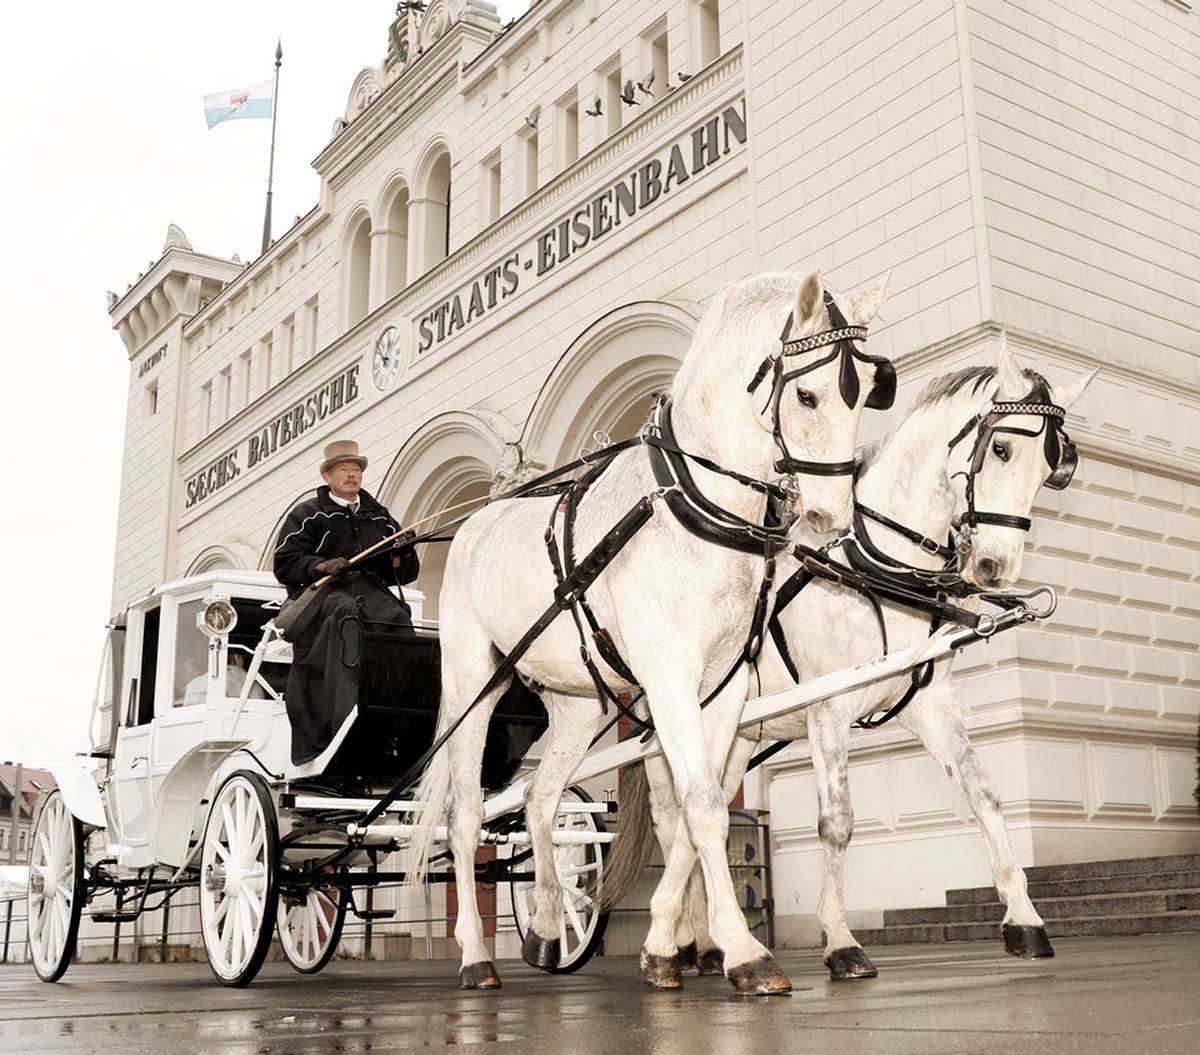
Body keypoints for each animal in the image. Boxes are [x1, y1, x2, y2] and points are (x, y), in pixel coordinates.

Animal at [403, 267, 892, 993]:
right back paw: (474, 956)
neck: (697, 507)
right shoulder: (669, 676)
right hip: (474, 684)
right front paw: (744, 952)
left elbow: (697, 807)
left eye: (865, 394)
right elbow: (703, 806)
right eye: (807, 394)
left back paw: (546, 925)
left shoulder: (723, 687)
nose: (832, 517)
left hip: (580, 703)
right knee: (466, 821)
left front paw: (677, 945)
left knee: (542, 800)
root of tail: (472, 523)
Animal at [604, 338, 1099, 984]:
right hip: (670, 715)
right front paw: (840, 941)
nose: (995, 568)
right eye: (1000, 448)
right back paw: (677, 941)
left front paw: (1024, 919)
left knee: (699, 812)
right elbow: (835, 823)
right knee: (675, 816)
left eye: (1051, 469)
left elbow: (984, 793)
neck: (878, 563)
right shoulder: (828, 711)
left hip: (735, 735)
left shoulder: (930, 706)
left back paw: (703, 944)